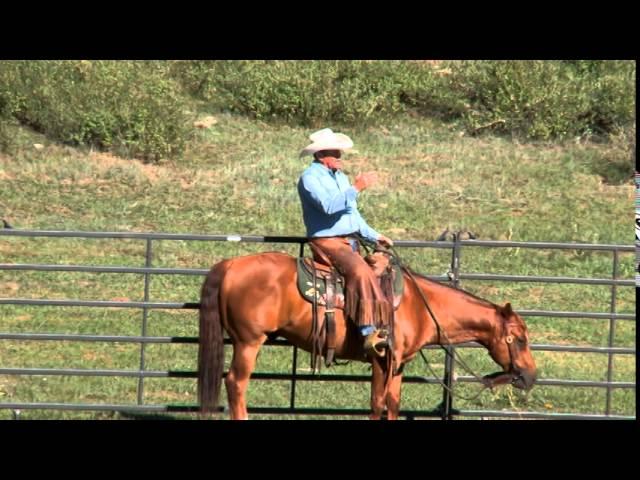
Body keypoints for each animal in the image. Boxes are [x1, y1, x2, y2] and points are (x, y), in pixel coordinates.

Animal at [198, 251, 536, 420]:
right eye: (519, 339)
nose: (531, 376)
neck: (419, 304)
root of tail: (230, 265)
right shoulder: (381, 358)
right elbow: (377, 402)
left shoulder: (398, 363)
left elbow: (393, 403)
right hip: (248, 342)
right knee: (236, 383)